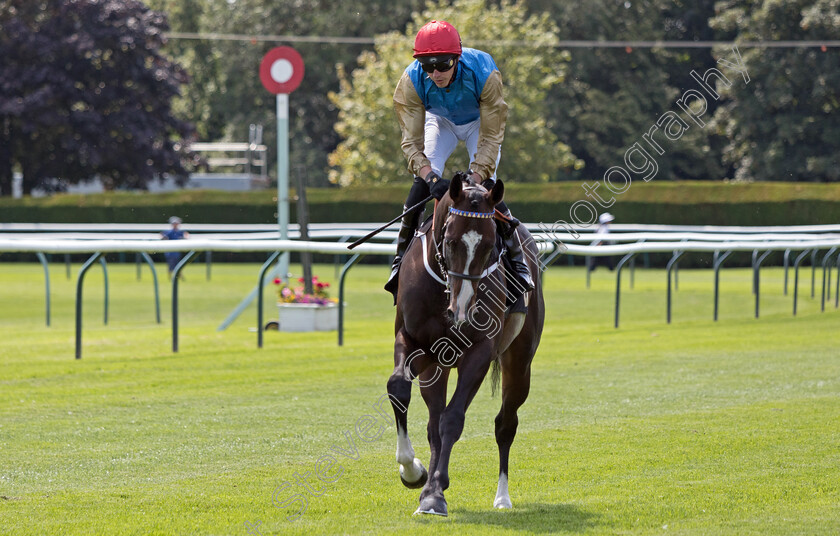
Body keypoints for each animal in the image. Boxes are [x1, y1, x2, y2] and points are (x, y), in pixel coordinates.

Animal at [388, 174, 544, 516]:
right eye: (450, 241)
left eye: (489, 245)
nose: (460, 310)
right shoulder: (413, 341)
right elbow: (398, 388)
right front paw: (413, 472)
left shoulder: (479, 352)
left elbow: (453, 419)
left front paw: (435, 493)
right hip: (437, 365)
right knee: (432, 422)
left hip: (519, 362)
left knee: (505, 424)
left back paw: (502, 497)